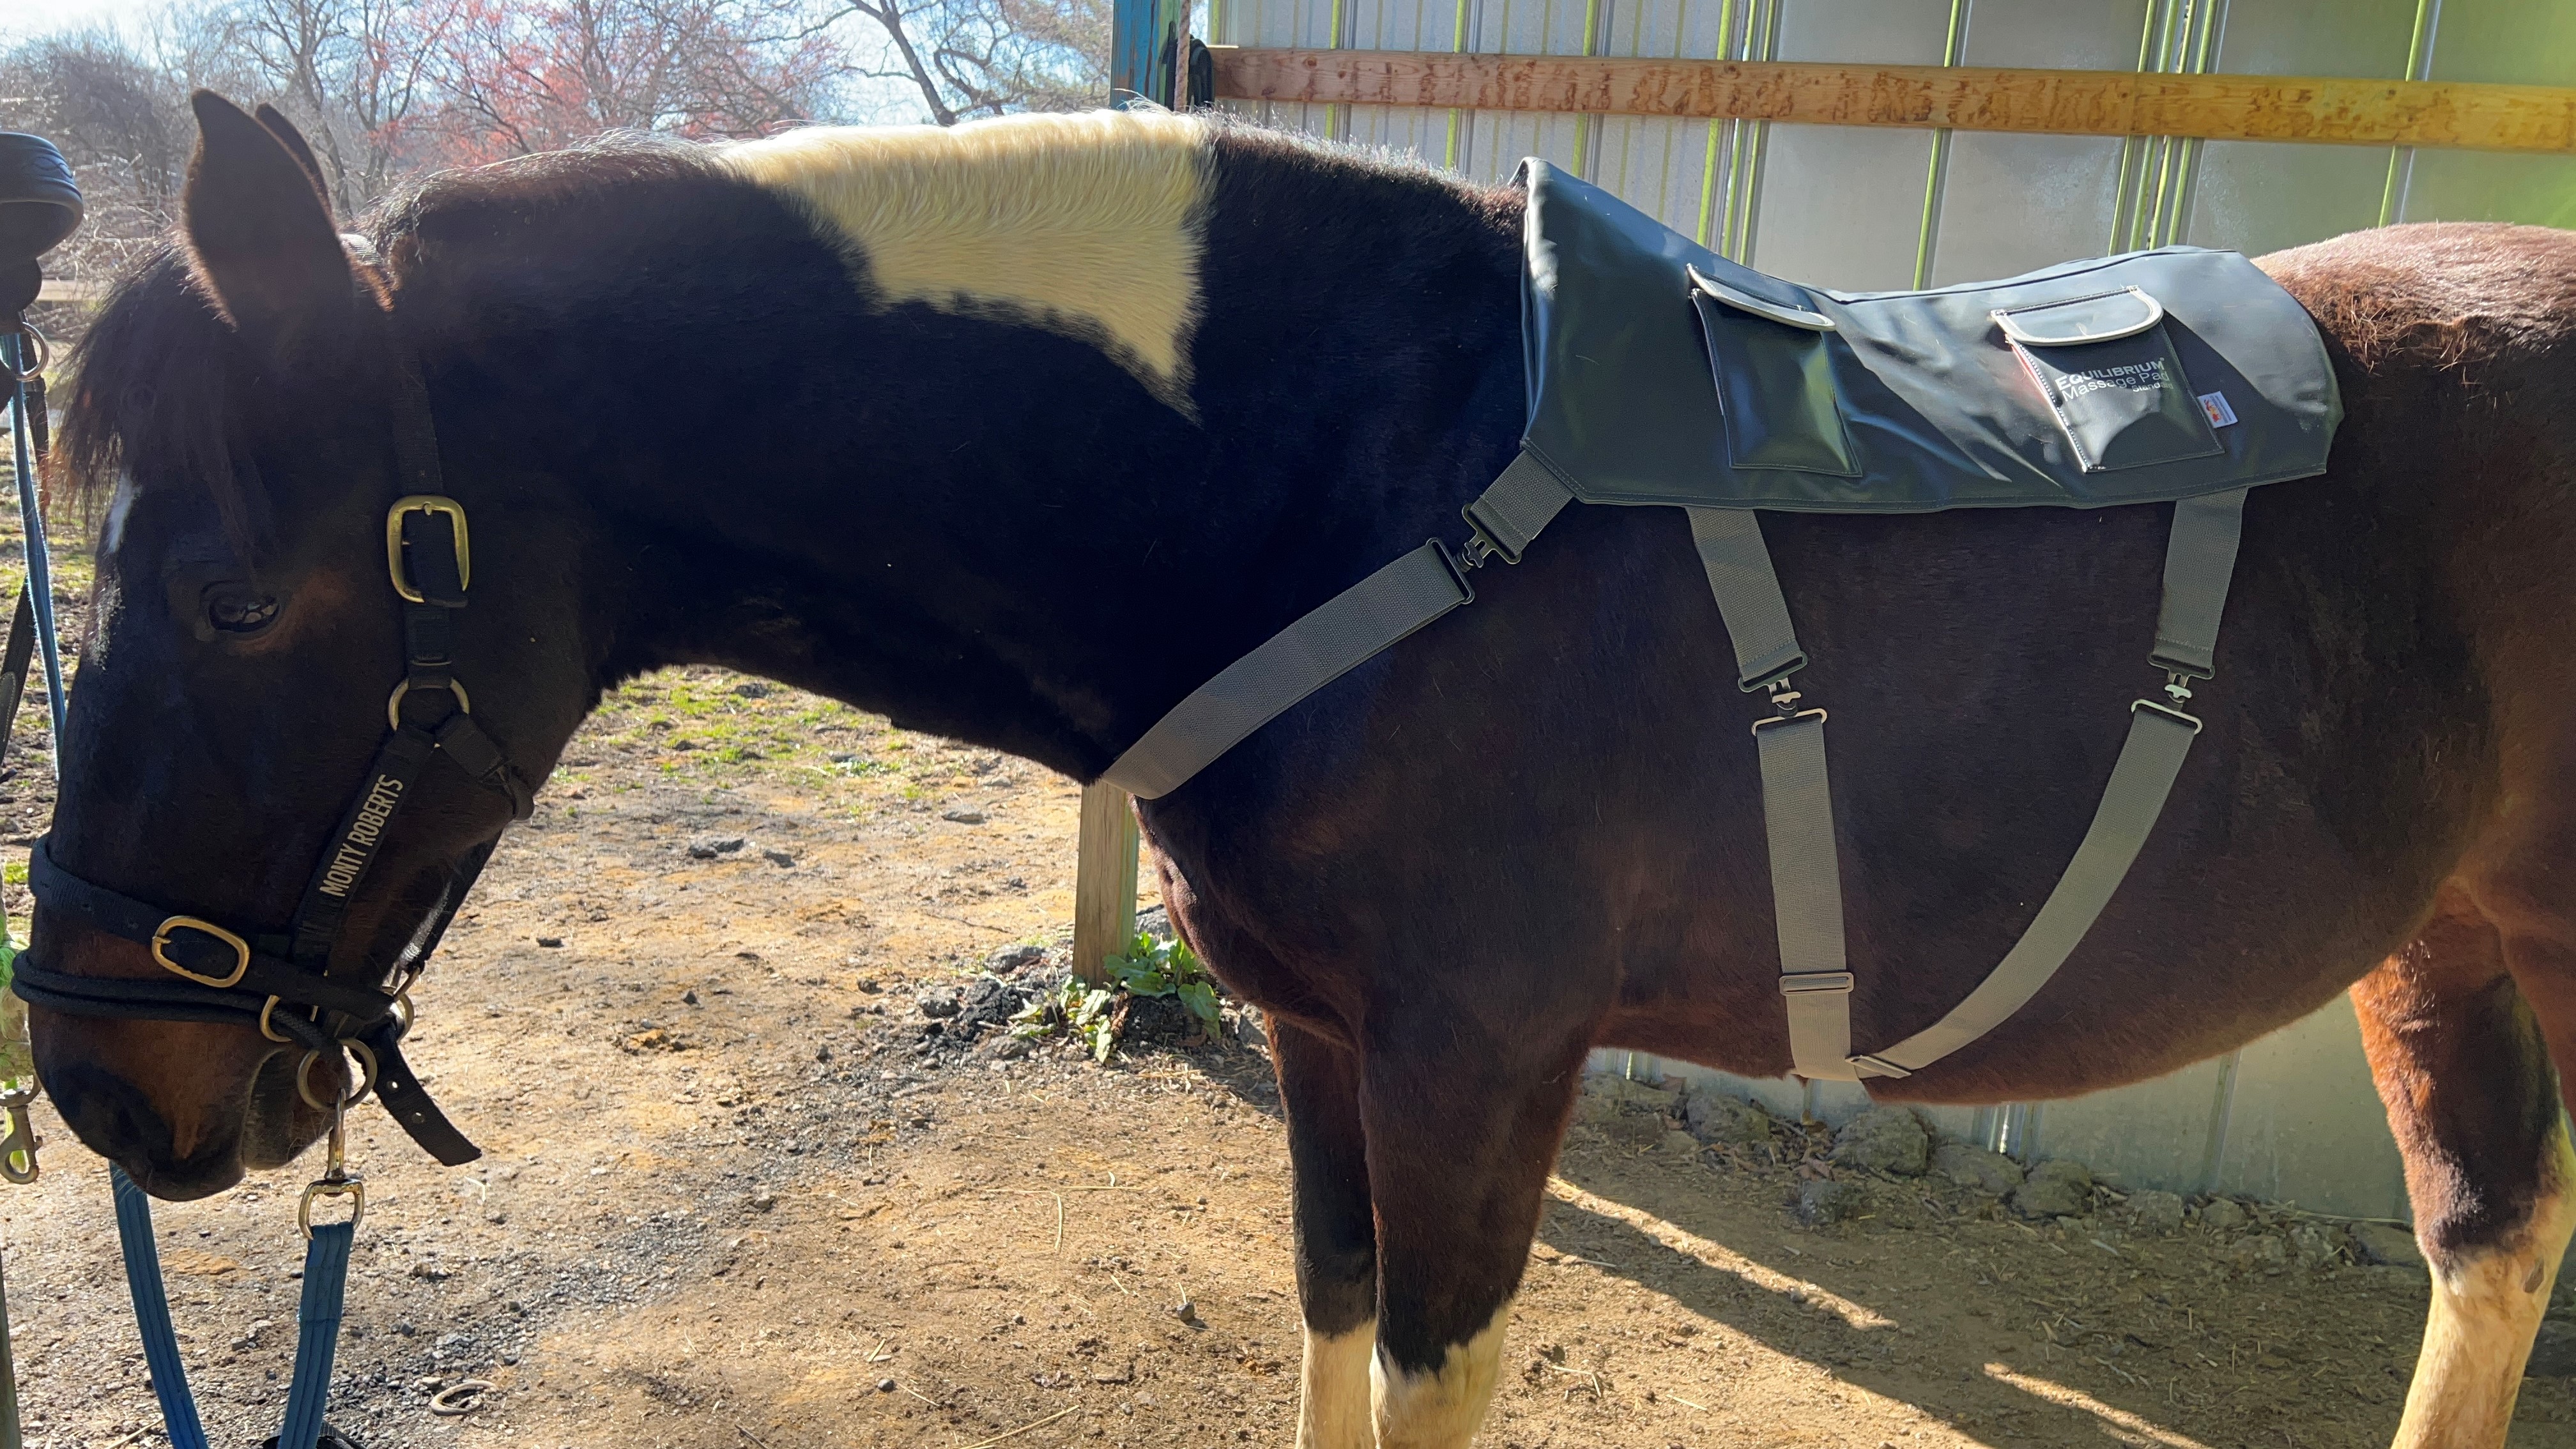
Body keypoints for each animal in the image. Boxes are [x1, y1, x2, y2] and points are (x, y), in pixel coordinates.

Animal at [25, 90, 2576, 1443]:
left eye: (236, 592)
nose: (96, 1084)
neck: (1361, 499)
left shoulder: (1475, 1073)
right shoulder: (1323, 1050)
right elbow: (1328, 1320)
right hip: (2439, 946)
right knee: (2492, 1240)